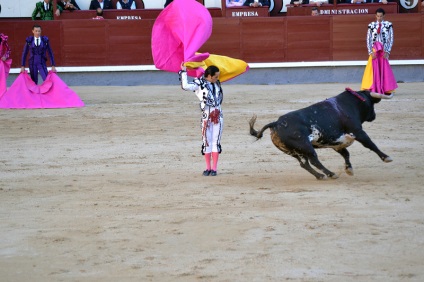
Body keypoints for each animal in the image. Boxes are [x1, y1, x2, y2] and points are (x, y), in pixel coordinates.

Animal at [250, 89, 392, 180]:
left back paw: (320, 176)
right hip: (305, 146)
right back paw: (330, 174)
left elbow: (346, 154)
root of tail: (276, 123)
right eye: (371, 103)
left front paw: (349, 169)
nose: (374, 116)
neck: (348, 104)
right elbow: (370, 144)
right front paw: (386, 157)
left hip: (293, 151)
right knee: (314, 161)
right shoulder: (357, 132)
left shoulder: (337, 143)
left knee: (304, 164)